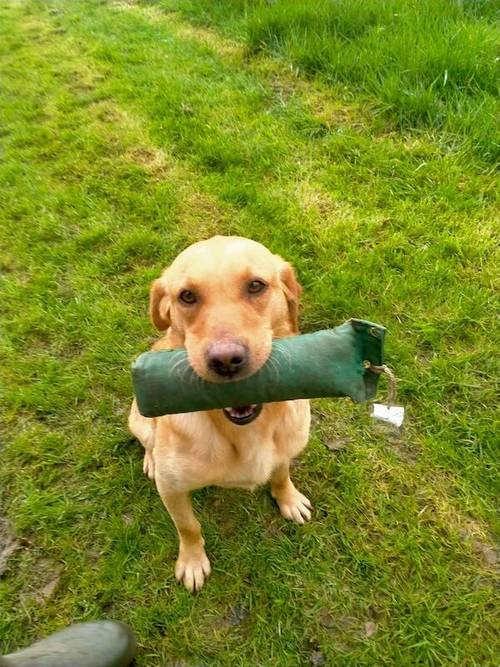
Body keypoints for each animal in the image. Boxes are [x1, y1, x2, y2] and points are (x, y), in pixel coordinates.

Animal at [127, 235, 310, 588]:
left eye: (256, 285)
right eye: (187, 296)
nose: (226, 361)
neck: (245, 431)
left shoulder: (283, 451)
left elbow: (281, 473)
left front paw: (288, 498)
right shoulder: (172, 489)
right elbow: (188, 527)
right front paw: (192, 561)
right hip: (137, 419)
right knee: (148, 441)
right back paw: (151, 459)